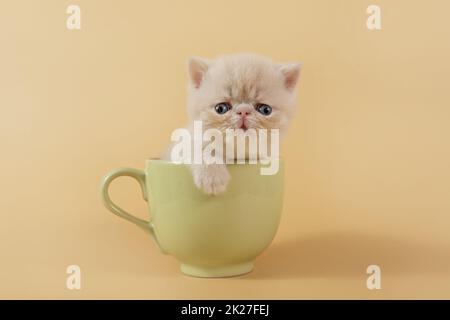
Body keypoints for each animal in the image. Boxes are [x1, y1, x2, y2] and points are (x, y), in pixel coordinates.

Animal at [163, 52, 300, 195]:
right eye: (221, 108)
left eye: (265, 110)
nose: (243, 111)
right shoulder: (183, 144)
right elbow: (201, 149)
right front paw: (212, 176)